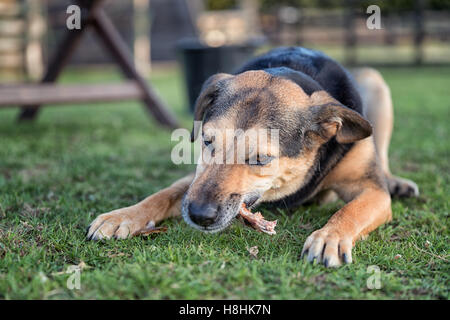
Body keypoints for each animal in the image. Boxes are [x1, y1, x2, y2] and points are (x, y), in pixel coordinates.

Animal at [85, 47, 418, 268]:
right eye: (207, 141)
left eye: (260, 159)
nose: (199, 215)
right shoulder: (195, 179)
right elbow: (163, 194)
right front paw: (122, 216)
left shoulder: (372, 191)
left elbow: (351, 210)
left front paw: (329, 236)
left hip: (374, 82)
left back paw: (396, 182)